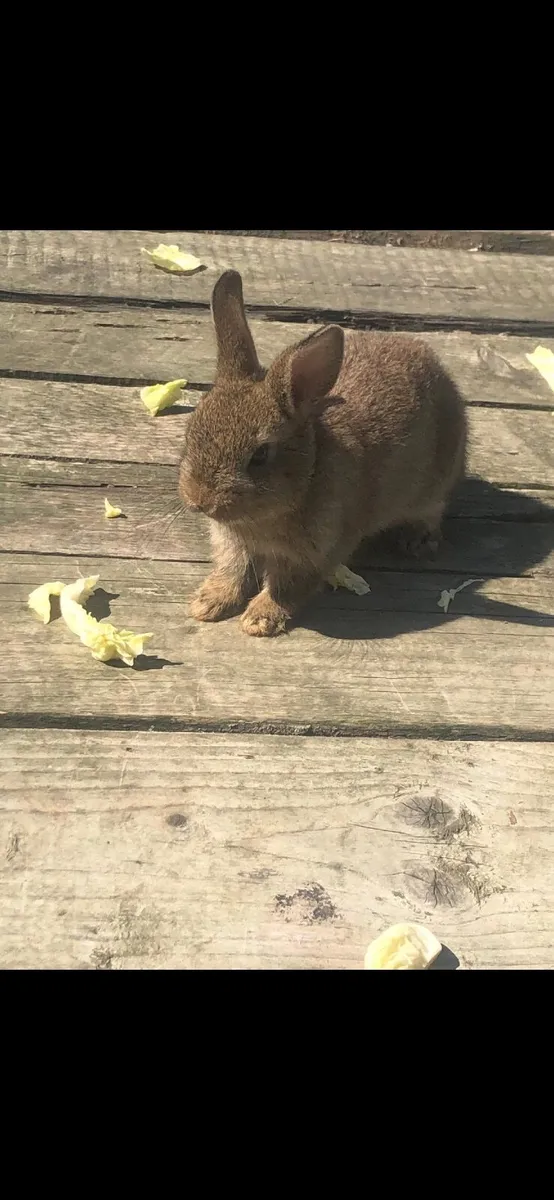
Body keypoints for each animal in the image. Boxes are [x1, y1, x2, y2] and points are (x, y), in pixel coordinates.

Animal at [178, 269, 467, 637]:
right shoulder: (233, 544)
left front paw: (260, 620)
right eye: (190, 431)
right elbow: (232, 570)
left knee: (433, 508)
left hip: (437, 479)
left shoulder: (316, 552)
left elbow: (286, 586)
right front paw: (208, 603)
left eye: (260, 455)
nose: (199, 501)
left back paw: (417, 540)